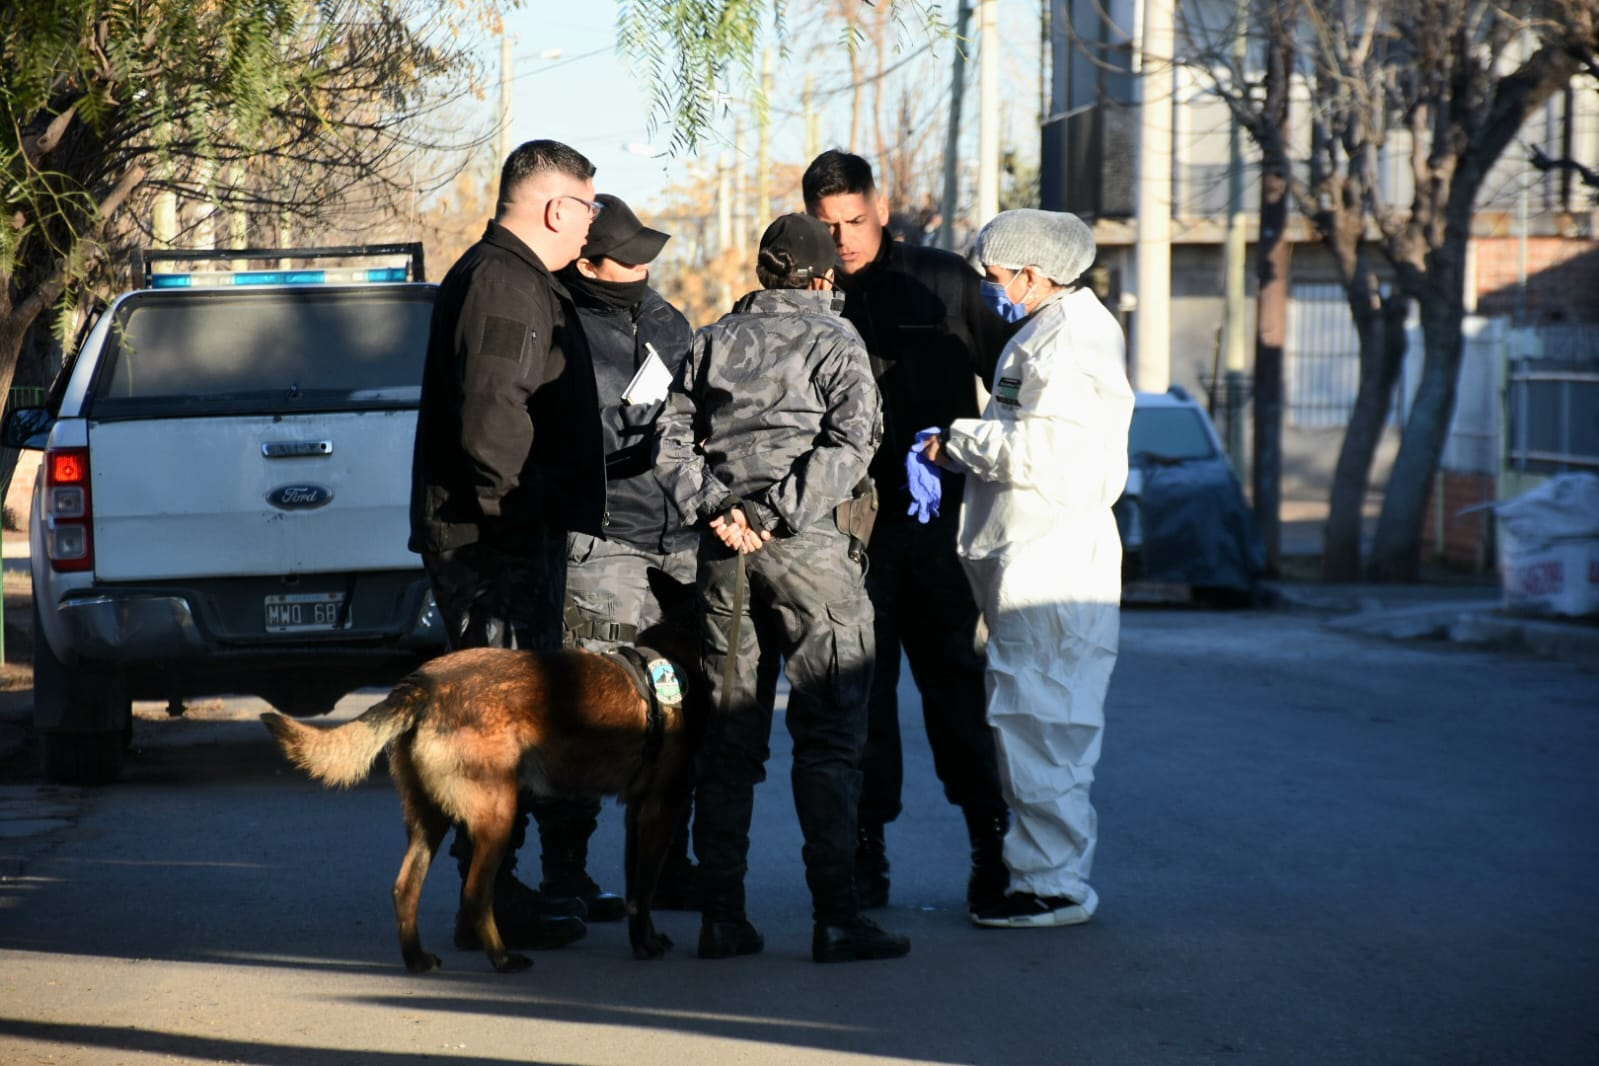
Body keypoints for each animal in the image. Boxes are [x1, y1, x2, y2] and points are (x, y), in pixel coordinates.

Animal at [260, 607, 700, 978]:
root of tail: (423, 686)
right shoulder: (661, 810)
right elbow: (644, 888)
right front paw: (645, 944)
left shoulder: (635, 813)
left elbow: (635, 888)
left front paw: (645, 938)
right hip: (499, 815)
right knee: (475, 895)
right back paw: (503, 958)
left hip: (430, 820)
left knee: (405, 889)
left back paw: (417, 958)